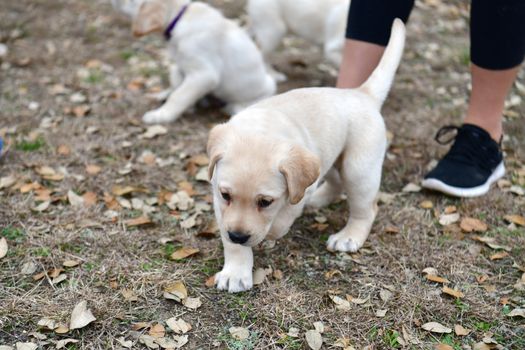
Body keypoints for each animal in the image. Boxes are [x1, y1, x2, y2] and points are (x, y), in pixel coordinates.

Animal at [131, 0, 276, 123]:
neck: (181, 18)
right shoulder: (181, 65)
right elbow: (177, 85)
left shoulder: (203, 74)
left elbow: (179, 95)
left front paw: (161, 115)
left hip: (263, 89)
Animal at [207, 19, 404, 292]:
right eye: (226, 195)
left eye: (265, 202)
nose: (238, 235)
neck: (263, 128)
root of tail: (360, 93)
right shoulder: (219, 198)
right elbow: (231, 238)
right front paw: (235, 271)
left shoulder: (298, 192)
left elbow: (282, 219)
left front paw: (269, 234)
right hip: (333, 159)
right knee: (336, 182)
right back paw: (321, 200)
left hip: (358, 169)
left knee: (366, 208)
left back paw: (349, 236)